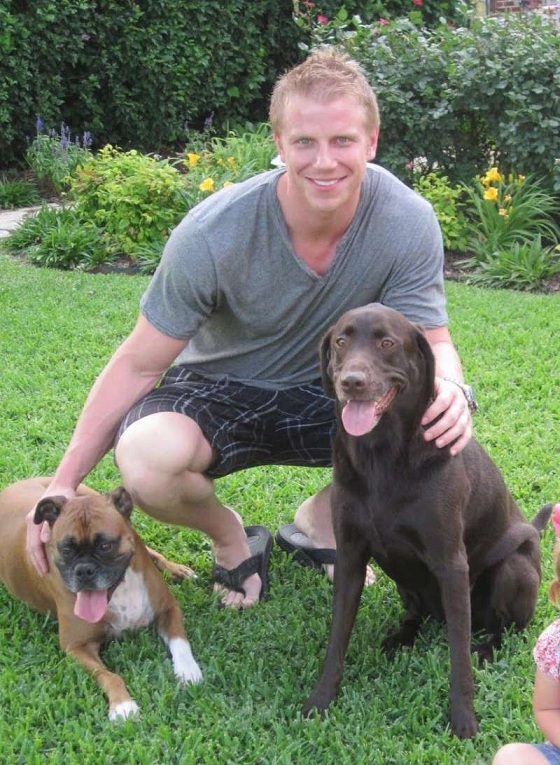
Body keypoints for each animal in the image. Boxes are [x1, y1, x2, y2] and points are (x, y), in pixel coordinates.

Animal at [0, 478, 201, 724]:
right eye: (66, 548)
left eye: (106, 546)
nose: (84, 570)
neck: (120, 588)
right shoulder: (76, 646)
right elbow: (108, 674)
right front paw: (123, 705)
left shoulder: (168, 610)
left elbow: (180, 640)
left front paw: (188, 670)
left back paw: (177, 570)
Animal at [304, 302, 548, 736]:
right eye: (341, 342)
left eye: (387, 343)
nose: (351, 382)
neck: (381, 455)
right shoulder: (349, 556)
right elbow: (337, 639)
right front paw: (321, 700)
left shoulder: (451, 564)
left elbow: (459, 659)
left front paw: (464, 720)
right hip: (406, 583)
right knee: (417, 613)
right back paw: (401, 637)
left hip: (513, 569)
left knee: (506, 629)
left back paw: (487, 648)